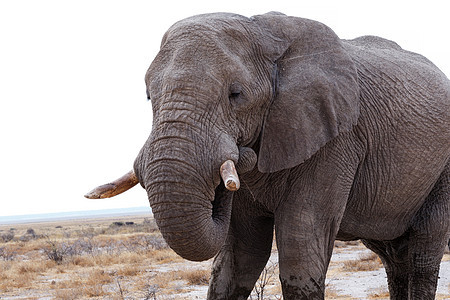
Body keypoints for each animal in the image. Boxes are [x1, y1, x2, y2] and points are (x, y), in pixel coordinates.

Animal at [85, 12, 450, 300]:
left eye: (236, 94)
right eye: (149, 96)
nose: (239, 153)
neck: (260, 31)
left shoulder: (338, 140)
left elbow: (300, 252)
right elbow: (238, 260)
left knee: (422, 254)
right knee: (392, 257)